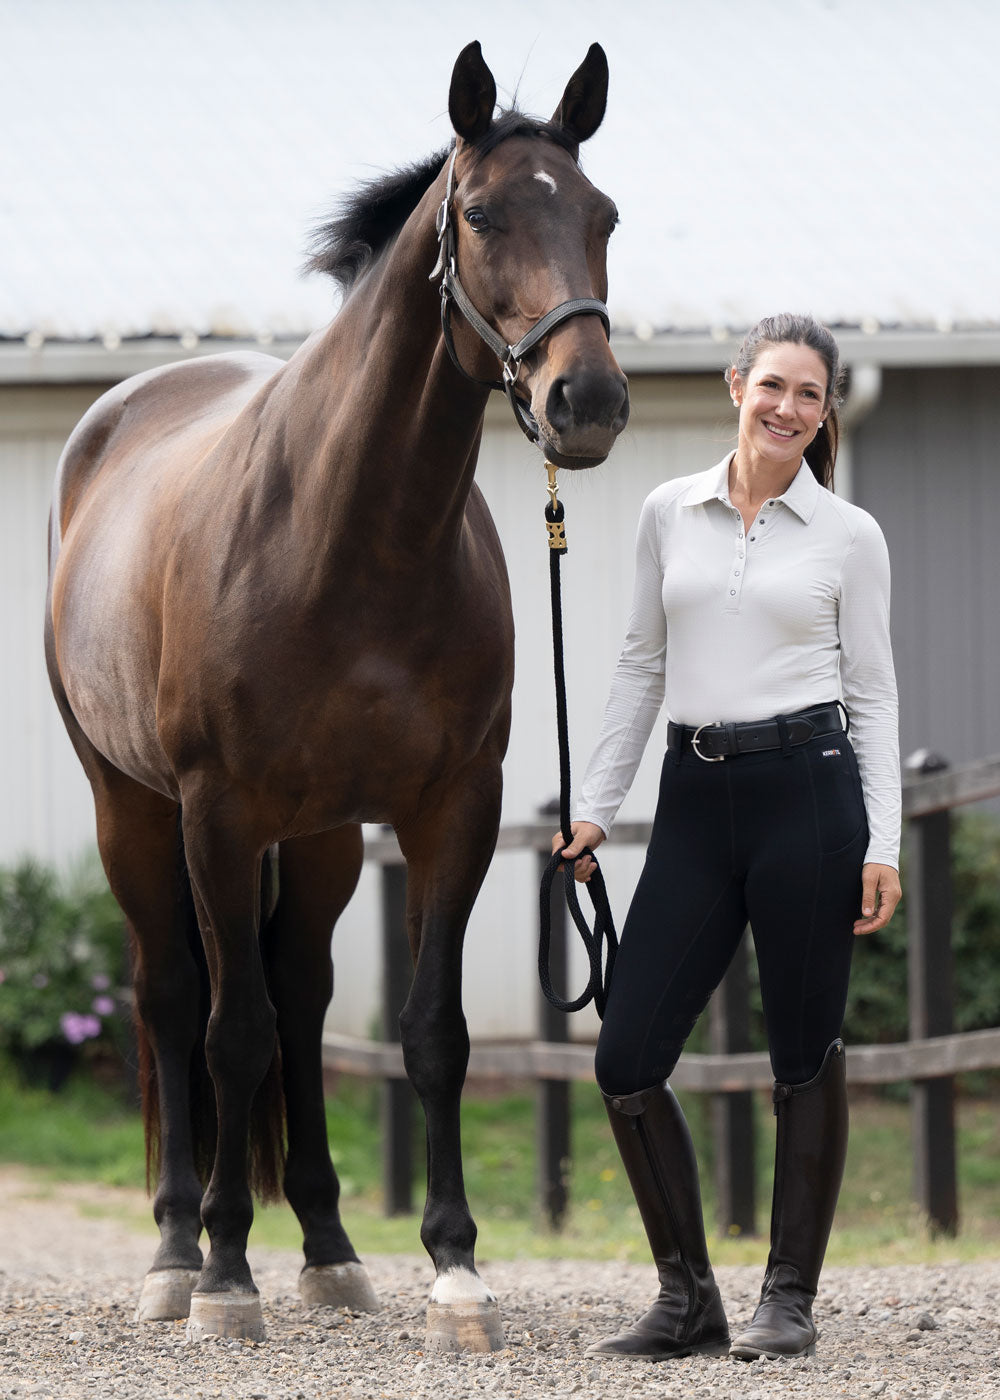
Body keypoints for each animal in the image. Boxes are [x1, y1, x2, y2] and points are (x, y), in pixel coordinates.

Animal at [44, 40, 628, 1352]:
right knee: (176, 999)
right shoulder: (216, 813)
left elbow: (428, 1032)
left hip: (315, 839)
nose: (587, 402)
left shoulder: (453, 809)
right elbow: (230, 1031)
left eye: (604, 216)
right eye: (481, 214)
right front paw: (222, 1277)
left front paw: (455, 1269)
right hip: (133, 812)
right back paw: (178, 1251)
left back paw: (326, 1245)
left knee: (306, 1001)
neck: (352, 538)